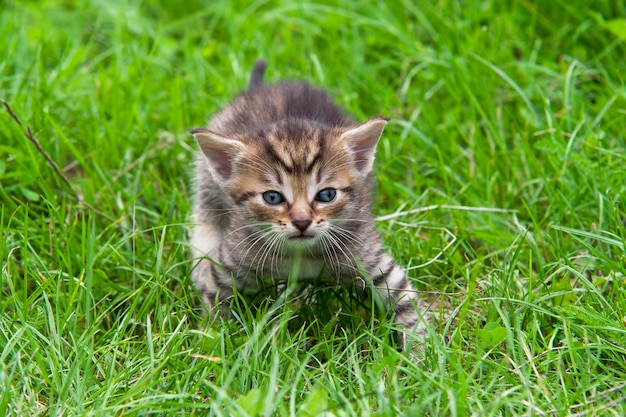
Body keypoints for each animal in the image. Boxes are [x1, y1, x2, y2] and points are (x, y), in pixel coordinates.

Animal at [188, 60, 426, 342]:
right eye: (272, 197)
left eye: (326, 195)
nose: (302, 222)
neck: (301, 255)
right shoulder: (234, 261)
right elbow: (214, 299)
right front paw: (211, 340)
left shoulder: (370, 258)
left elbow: (405, 303)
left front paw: (422, 348)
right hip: (206, 181)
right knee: (204, 215)